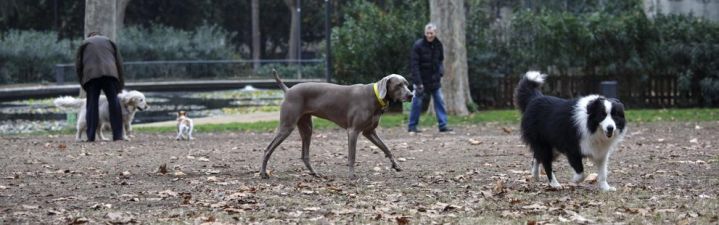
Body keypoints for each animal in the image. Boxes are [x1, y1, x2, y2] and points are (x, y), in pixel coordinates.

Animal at [262, 70, 414, 179]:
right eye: (398, 85)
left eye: (407, 84)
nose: (411, 95)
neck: (376, 97)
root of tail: (288, 89)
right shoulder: (353, 131)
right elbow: (352, 155)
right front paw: (351, 175)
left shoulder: (369, 132)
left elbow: (386, 147)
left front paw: (396, 165)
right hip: (287, 126)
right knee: (268, 149)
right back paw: (263, 173)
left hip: (307, 127)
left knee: (304, 155)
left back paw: (315, 173)